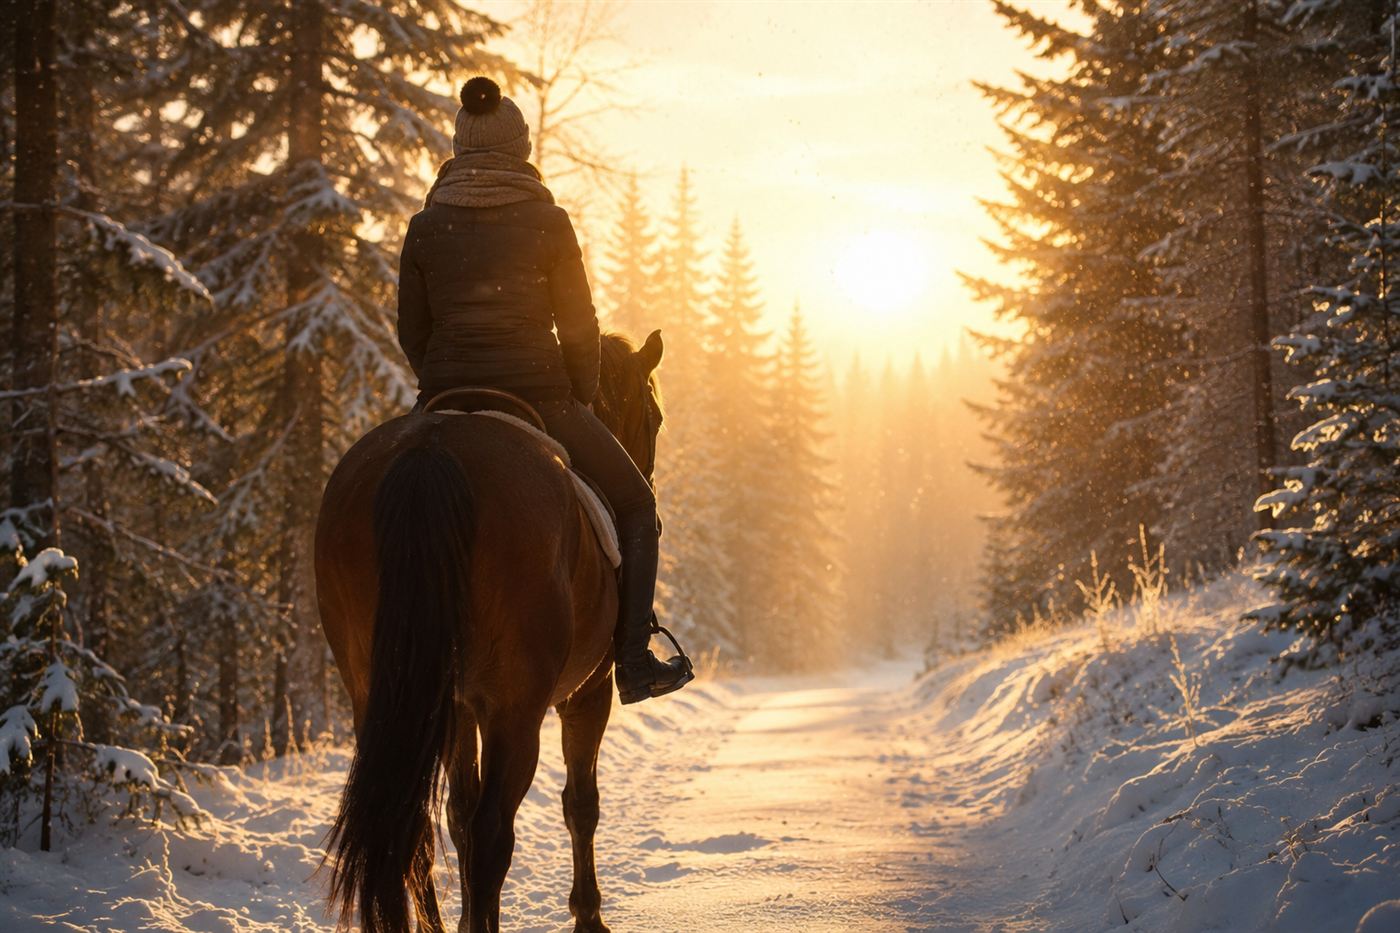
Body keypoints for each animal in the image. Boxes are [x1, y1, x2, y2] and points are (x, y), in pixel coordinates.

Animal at [314, 331, 665, 933]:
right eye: (657, 416)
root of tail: (430, 452)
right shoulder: (587, 692)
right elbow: (580, 804)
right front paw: (589, 916)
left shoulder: (457, 705)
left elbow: (456, 813)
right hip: (516, 709)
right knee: (493, 832)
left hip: (380, 694)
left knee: (411, 827)